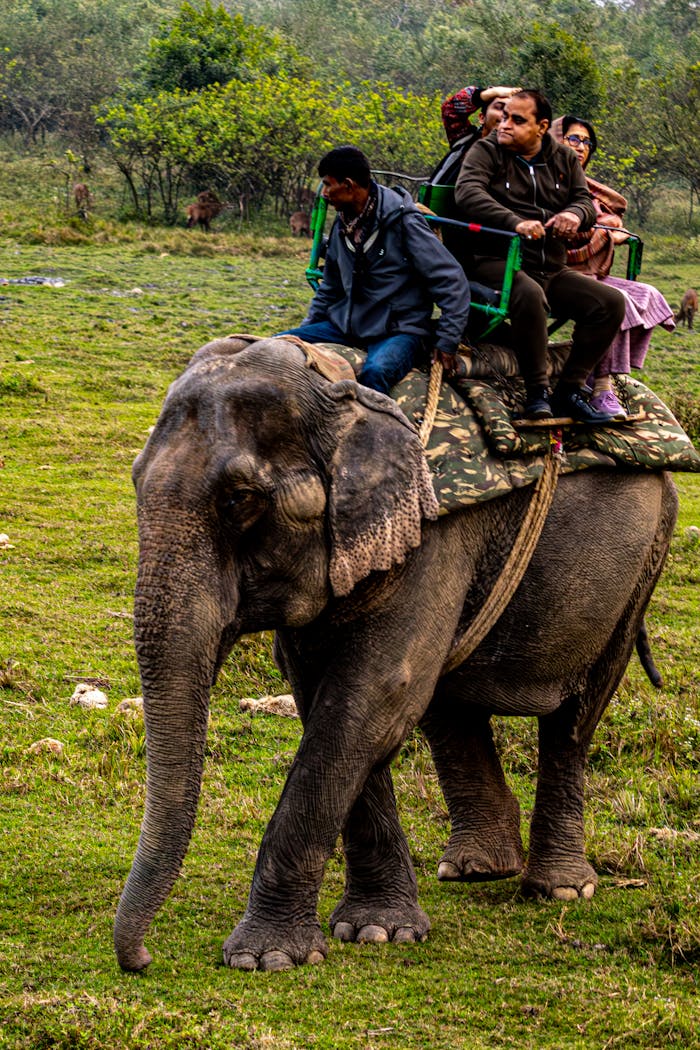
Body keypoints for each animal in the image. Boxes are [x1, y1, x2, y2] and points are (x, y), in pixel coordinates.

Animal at [114, 335, 677, 974]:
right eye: (135, 481)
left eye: (239, 499)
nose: (142, 960)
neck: (338, 384)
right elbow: (331, 698)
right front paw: (375, 932)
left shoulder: (433, 533)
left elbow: (374, 693)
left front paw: (266, 959)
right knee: (449, 707)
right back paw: (478, 869)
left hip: (645, 559)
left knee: (575, 714)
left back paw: (559, 888)